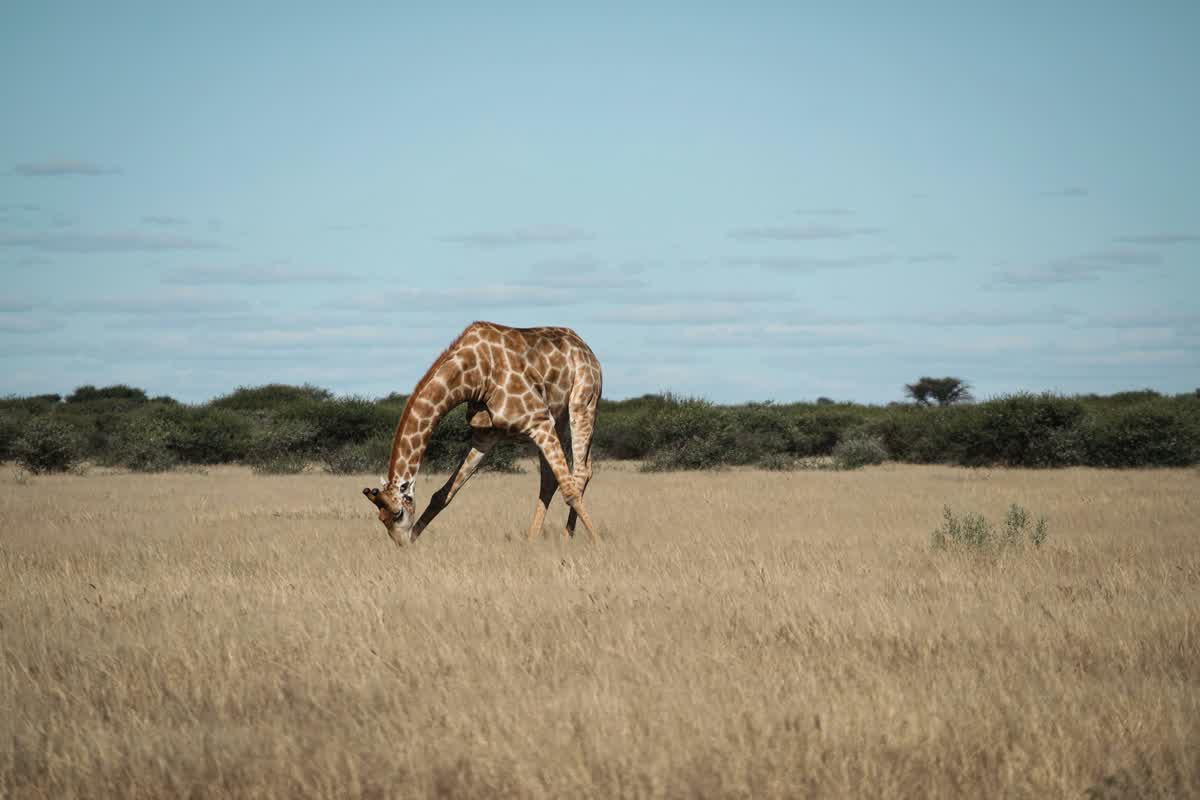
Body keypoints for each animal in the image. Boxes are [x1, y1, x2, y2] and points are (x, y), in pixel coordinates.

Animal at [363, 320, 602, 546]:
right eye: (381, 519)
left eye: (398, 513)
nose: (401, 544)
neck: (473, 376)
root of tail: (586, 349)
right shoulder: (485, 436)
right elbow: (443, 494)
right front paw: (415, 539)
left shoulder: (538, 420)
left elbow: (569, 490)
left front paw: (598, 543)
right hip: (558, 418)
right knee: (553, 478)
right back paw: (532, 539)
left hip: (583, 402)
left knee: (579, 472)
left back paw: (567, 538)